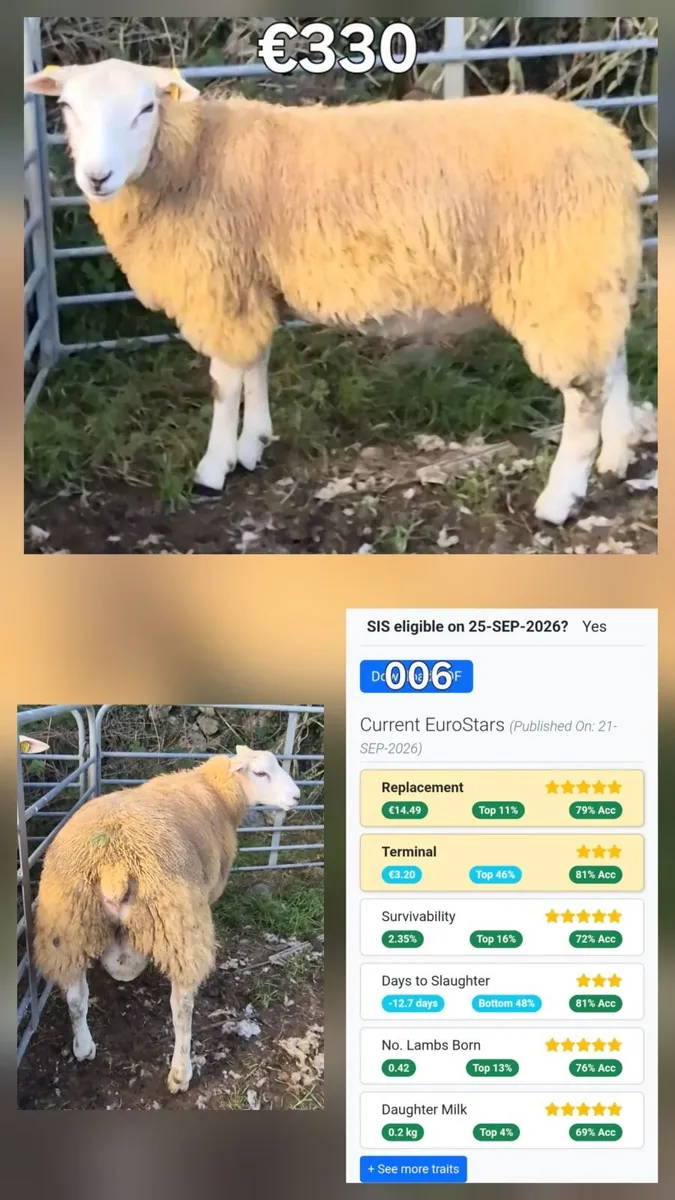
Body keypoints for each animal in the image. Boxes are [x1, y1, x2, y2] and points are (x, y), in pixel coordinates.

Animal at [24, 58, 649, 526]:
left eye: (146, 108)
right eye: (67, 109)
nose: (96, 178)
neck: (193, 158)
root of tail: (616, 149)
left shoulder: (221, 284)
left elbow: (225, 382)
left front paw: (214, 466)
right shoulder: (250, 281)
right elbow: (256, 362)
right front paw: (254, 443)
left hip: (558, 276)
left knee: (584, 393)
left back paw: (561, 497)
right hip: (592, 269)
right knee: (613, 356)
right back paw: (617, 454)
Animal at [32, 745, 300, 1094]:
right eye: (260, 773)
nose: (296, 797)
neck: (215, 793)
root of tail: (113, 865)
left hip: (68, 928)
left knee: (77, 998)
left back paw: (83, 1046)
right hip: (178, 925)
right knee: (181, 1007)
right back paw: (180, 1072)